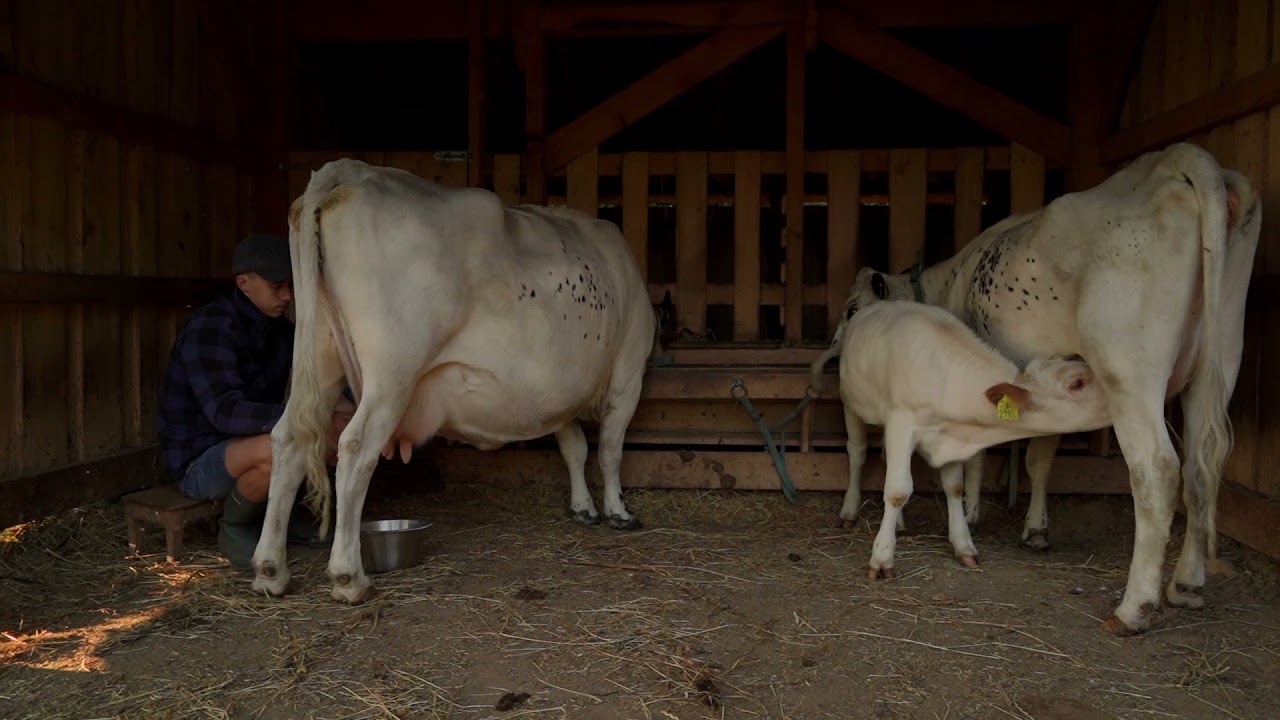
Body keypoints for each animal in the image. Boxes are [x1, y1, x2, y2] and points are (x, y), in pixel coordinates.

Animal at [249, 159, 657, 604]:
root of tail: (352, 170)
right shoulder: (628, 375)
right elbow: (610, 451)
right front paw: (618, 512)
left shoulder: (558, 396)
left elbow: (575, 449)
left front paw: (583, 507)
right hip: (393, 372)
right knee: (355, 448)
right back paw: (348, 577)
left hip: (319, 355)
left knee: (288, 440)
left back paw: (270, 570)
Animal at [810, 300, 1110, 579]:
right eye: (1077, 383)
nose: (1117, 394)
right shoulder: (902, 423)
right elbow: (897, 490)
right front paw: (882, 557)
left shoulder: (948, 434)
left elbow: (954, 486)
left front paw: (963, 544)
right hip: (851, 403)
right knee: (857, 452)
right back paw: (849, 510)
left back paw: (900, 524)